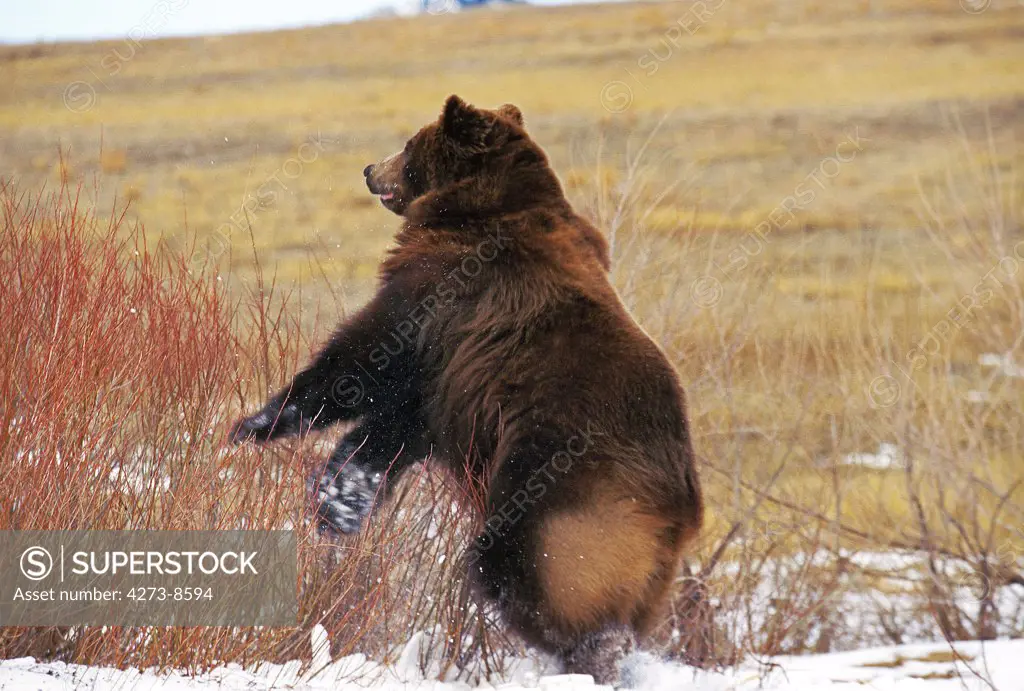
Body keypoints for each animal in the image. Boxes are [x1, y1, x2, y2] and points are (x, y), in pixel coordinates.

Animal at [228, 95, 700, 687]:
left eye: (409, 143)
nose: (369, 168)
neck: (472, 208)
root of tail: (680, 505)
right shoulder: (450, 381)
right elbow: (392, 431)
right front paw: (340, 501)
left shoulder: (444, 292)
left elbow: (364, 359)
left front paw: (255, 425)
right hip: (640, 557)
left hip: (562, 494)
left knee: (523, 569)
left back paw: (583, 652)